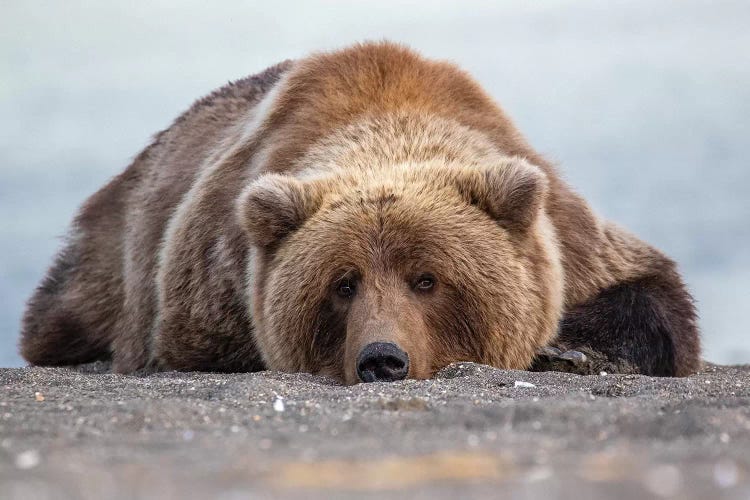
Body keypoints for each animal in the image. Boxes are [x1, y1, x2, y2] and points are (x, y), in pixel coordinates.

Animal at [20, 42, 704, 382]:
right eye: (341, 284)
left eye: (428, 279)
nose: (382, 359)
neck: (388, 116)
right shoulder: (210, 278)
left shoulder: (566, 231)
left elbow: (649, 296)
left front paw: (572, 349)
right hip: (112, 251)